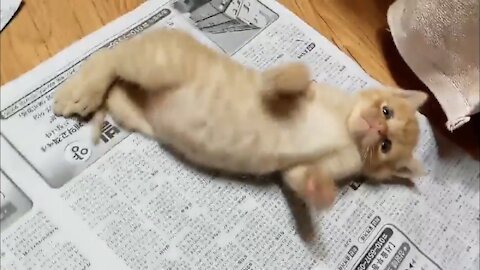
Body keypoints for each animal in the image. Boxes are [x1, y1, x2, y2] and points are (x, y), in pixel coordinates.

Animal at [53, 28, 428, 209]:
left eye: (385, 145)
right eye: (386, 111)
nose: (377, 126)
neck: (343, 129)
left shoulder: (300, 169)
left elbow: (302, 179)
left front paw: (322, 194)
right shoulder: (308, 93)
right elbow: (291, 81)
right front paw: (290, 76)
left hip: (133, 107)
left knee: (115, 81)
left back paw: (90, 95)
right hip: (157, 65)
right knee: (110, 54)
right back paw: (77, 92)